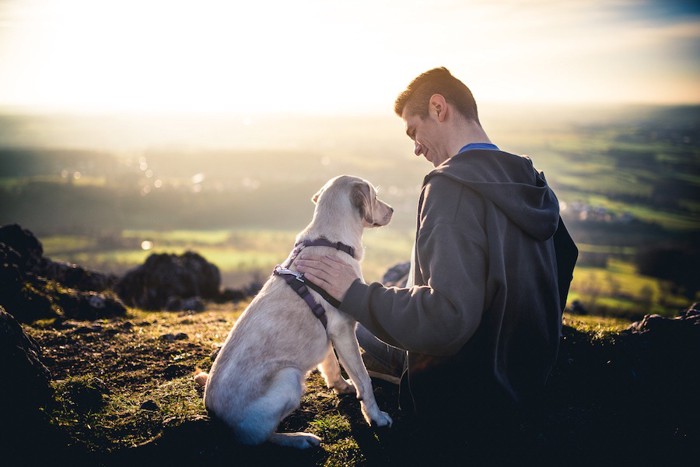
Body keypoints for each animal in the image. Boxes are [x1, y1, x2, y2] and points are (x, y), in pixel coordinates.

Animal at [194, 176, 394, 450]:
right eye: (375, 196)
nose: (392, 210)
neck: (330, 240)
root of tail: (214, 414)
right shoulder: (344, 331)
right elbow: (364, 380)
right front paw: (376, 417)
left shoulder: (329, 333)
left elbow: (331, 366)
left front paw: (342, 386)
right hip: (289, 378)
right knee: (258, 437)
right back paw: (299, 439)